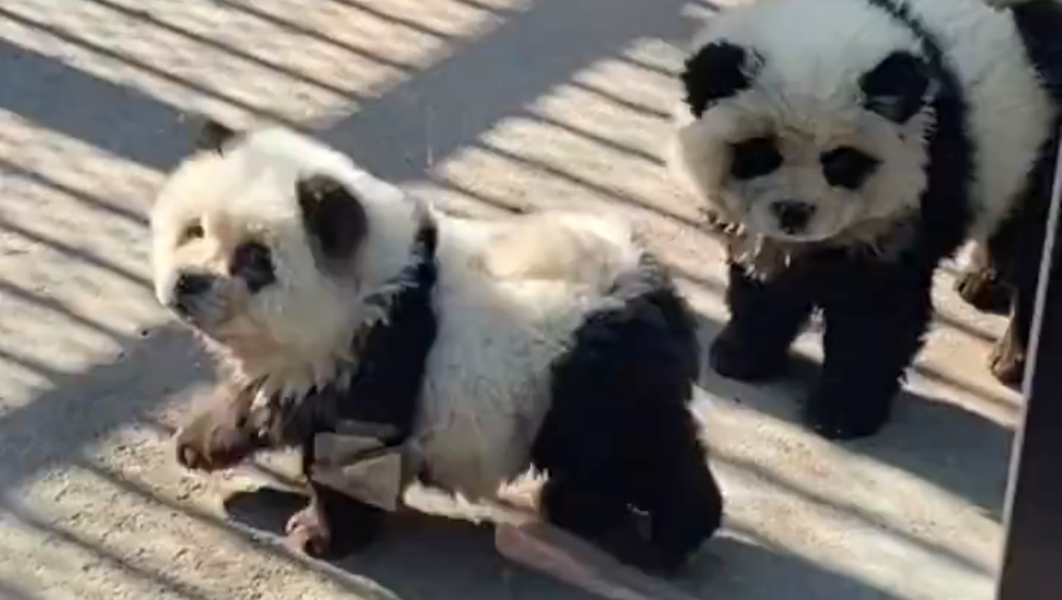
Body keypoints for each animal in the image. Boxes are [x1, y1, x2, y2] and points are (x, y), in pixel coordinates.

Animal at [152, 118, 723, 575]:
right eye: (193, 229)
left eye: (255, 258)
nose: (187, 283)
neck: (373, 284)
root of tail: (657, 290)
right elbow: (265, 394)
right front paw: (200, 441)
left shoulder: (380, 355)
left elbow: (350, 458)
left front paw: (320, 534)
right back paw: (577, 508)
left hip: (593, 373)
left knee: (640, 451)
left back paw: (671, 539)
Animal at [669, 0, 1062, 439]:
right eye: (761, 152)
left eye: (840, 161)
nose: (794, 212)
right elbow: (765, 281)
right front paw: (741, 353)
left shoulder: (910, 204)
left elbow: (875, 315)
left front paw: (842, 412)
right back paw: (983, 281)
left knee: (1037, 251)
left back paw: (1013, 356)